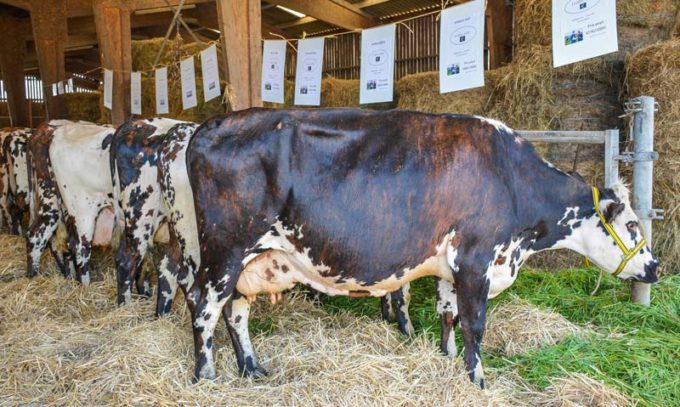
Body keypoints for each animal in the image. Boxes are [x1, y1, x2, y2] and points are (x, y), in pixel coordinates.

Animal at [183, 109, 656, 388]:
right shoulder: (476, 260)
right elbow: (475, 324)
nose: (654, 268)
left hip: (251, 259)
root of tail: (207, 127)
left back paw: (250, 367)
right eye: (633, 224)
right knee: (203, 305)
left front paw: (446, 360)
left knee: (235, 311)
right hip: (225, 249)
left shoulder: (451, 268)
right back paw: (206, 376)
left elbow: (448, 316)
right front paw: (477, 379)